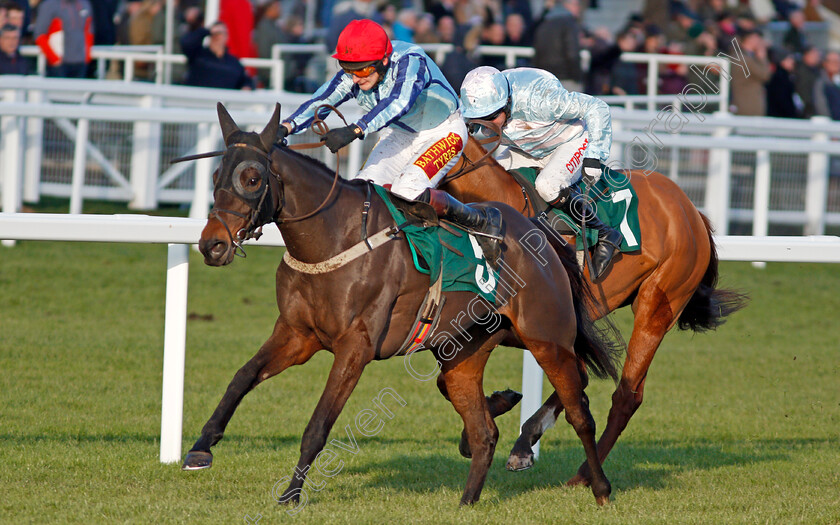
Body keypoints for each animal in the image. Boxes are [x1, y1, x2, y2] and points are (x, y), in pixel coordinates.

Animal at [185, 104, 632, 506]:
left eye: (252, 177)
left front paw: (291, 495)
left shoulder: (355, 347)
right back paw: (468, 497)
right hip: (468, 351)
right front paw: (200, 448)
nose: (212, 245)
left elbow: (318, 425)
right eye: (215, 176)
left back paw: (599, 487)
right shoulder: (297, 334)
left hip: (546, 337)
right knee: (483, 431)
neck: (335, 238)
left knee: (580, 410)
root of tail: (542, 234)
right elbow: (242, 377)